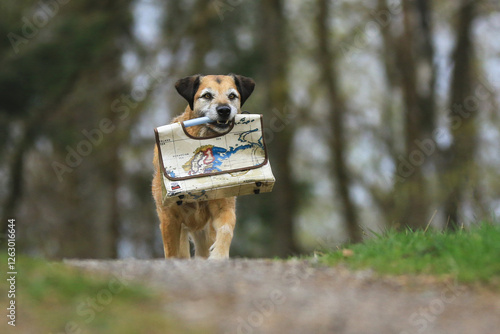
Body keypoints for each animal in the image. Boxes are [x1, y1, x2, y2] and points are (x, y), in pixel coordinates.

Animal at [151, 74, 254, 260]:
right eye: (207, 95)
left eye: (232, 96)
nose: (224, 110)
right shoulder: (169, 216)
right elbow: (172, 251)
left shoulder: (223, 205)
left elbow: (226, 228)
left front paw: (219, 255)